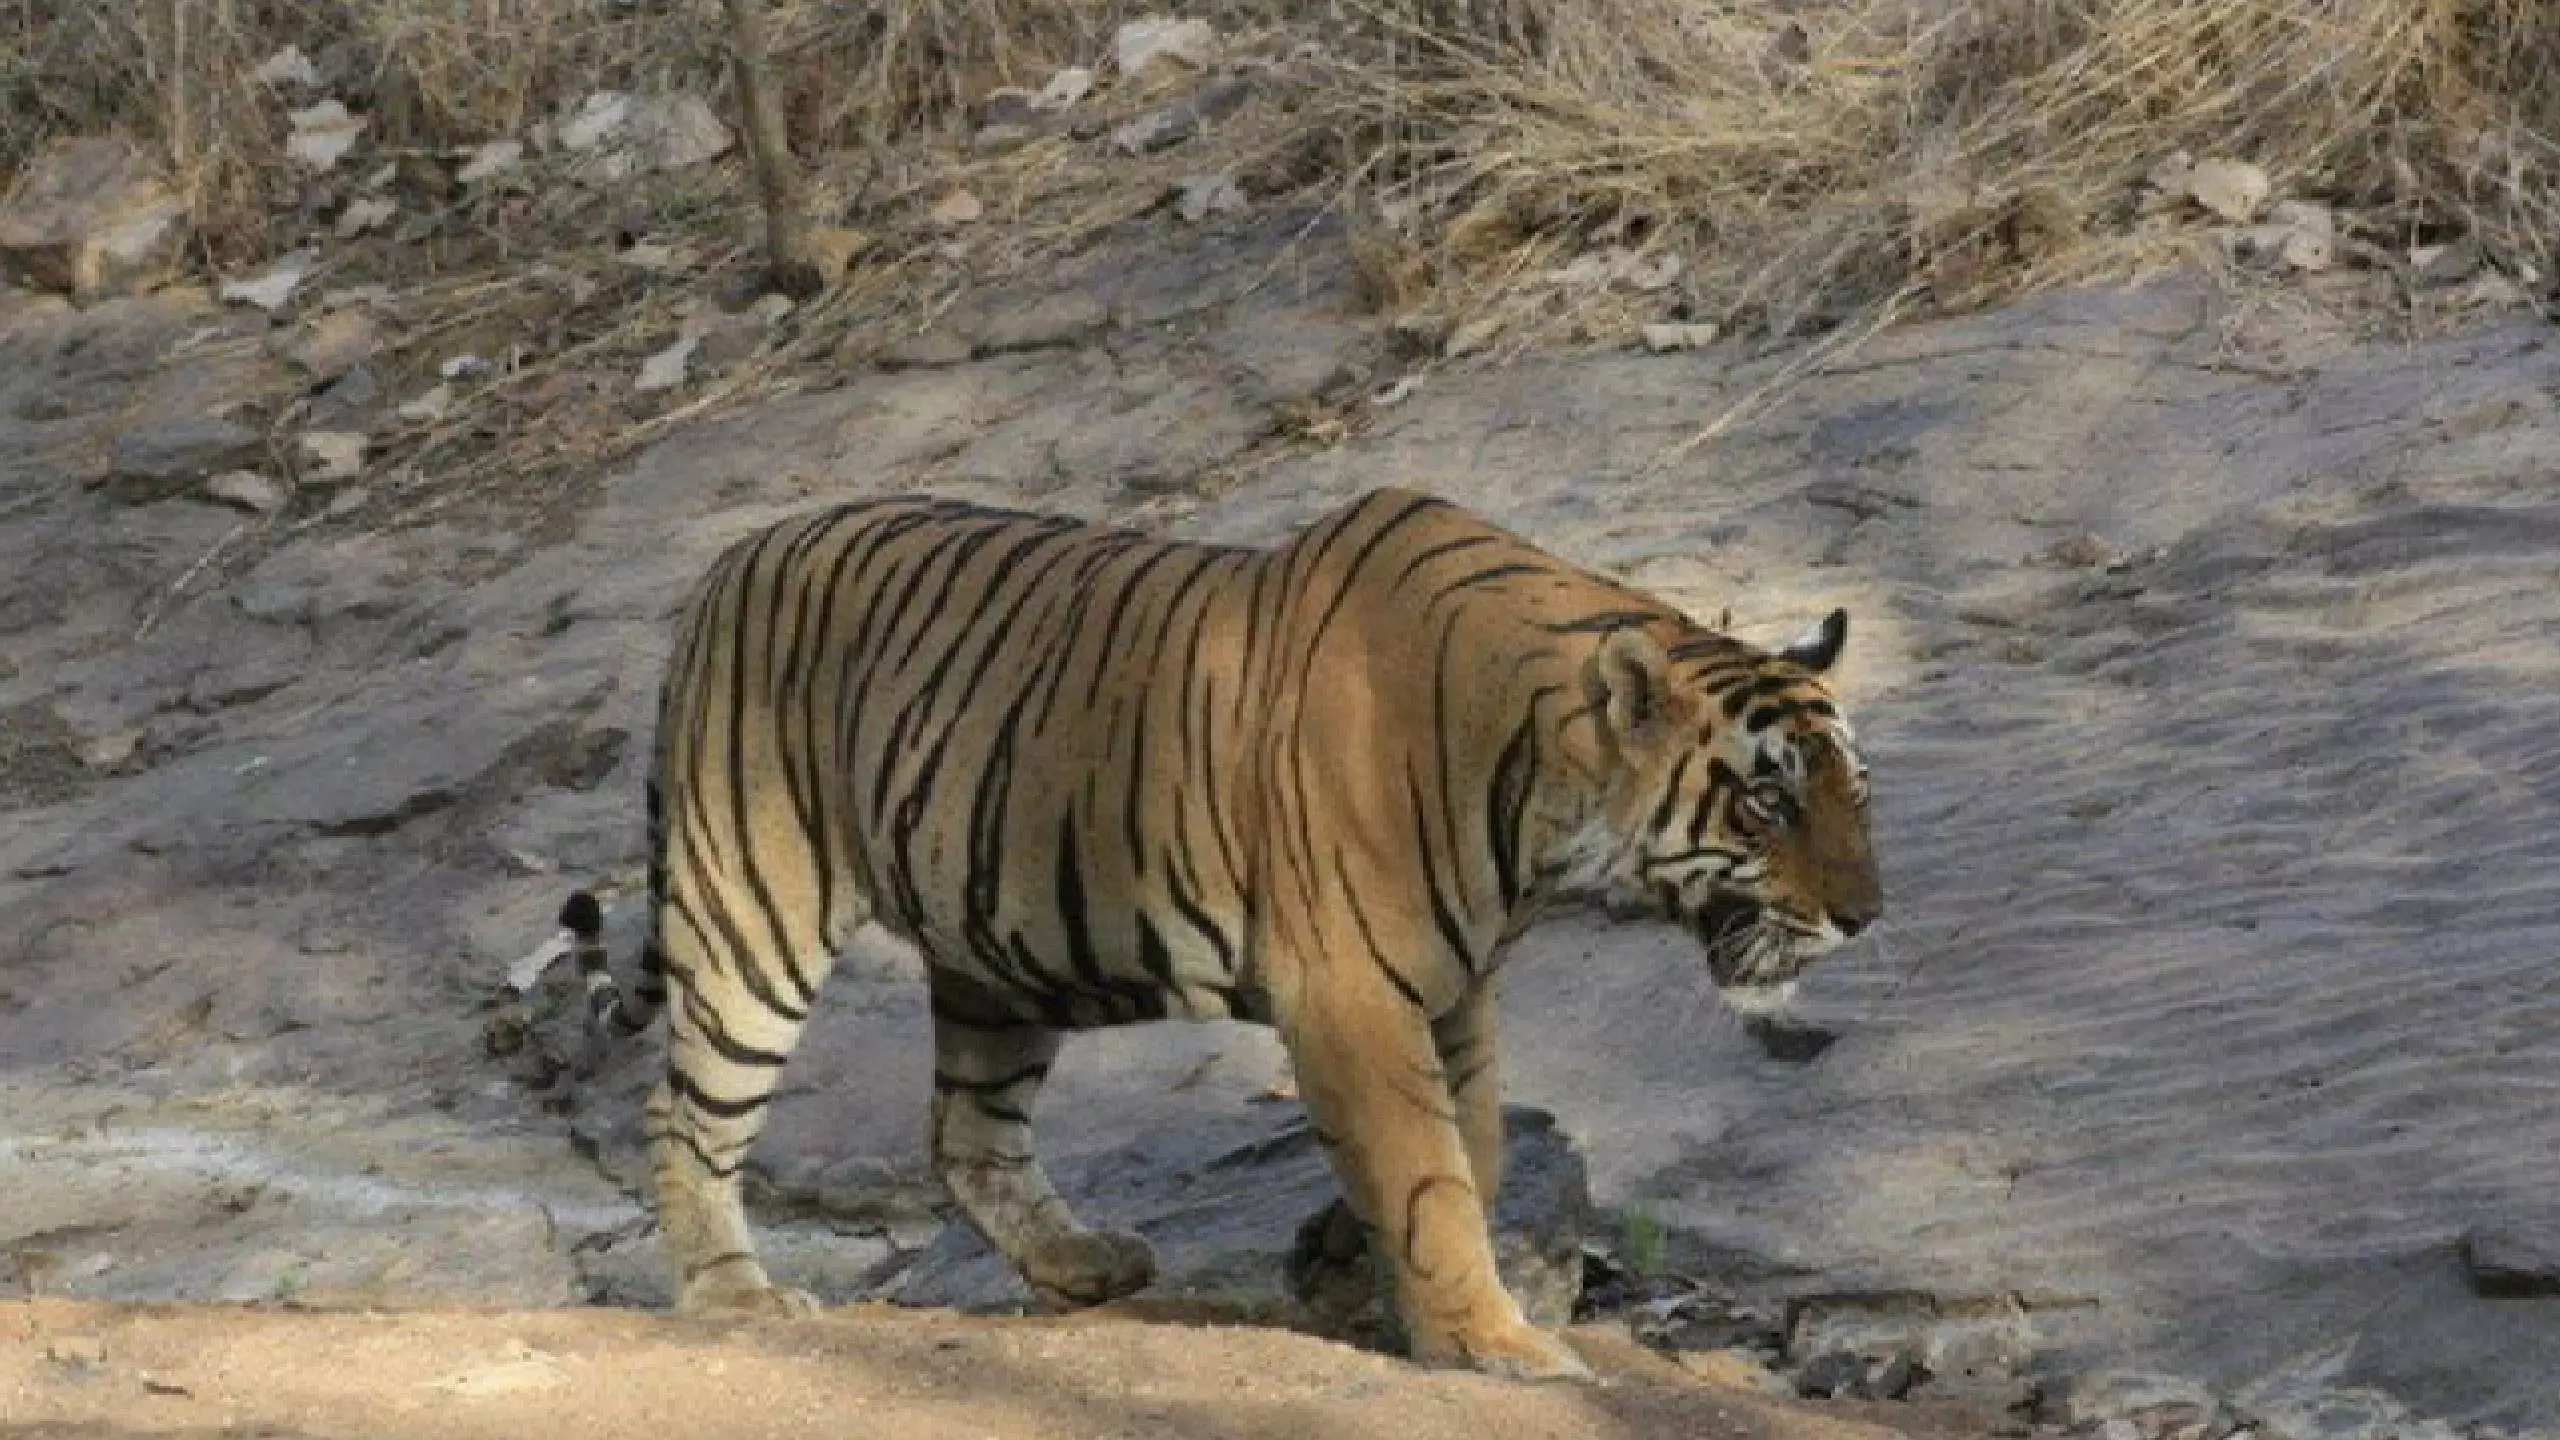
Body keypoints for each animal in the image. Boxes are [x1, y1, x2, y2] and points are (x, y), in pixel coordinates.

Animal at [560, 484, 1884, 1383]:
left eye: (1850, 791)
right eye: (1767, 802)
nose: (1865, 916)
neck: (1539, 811)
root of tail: (730, 561)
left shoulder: (1456, 990)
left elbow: (1471, 1146)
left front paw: (1367, 1279)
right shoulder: (1350, 990)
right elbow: (1427, 1167)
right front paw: (1490, 1339)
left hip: (997, 945)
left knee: (963, 1130)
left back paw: (1082, 1264)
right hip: (755, 913)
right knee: (685, 1114)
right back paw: (737, 1300)